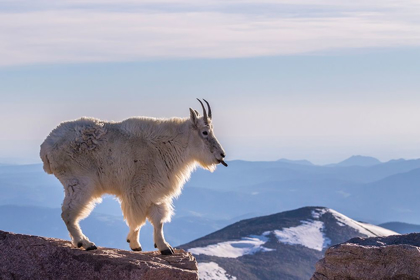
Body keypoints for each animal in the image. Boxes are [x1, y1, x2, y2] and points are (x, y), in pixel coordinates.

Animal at [40, 99, 226, 255]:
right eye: (205, 132)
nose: (221, 155)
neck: (169, 144)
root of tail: (46, 147)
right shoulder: (138, 191)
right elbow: (138, 219)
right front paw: (135, 243)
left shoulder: (154, 192)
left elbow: (158, 219)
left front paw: (164, 247)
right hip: (80, 183)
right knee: (68, 213)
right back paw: (85, 243)